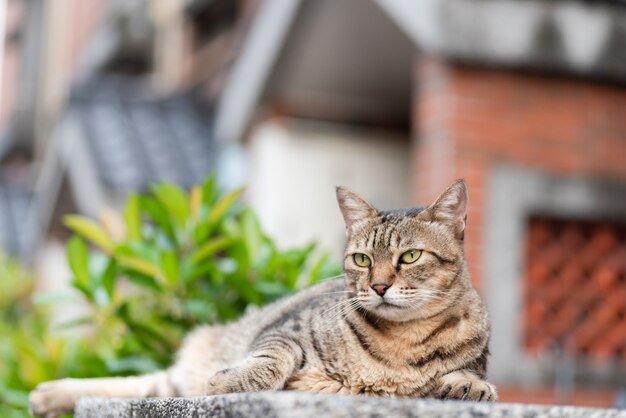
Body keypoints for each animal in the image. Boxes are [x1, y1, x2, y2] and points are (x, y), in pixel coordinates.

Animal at [29, 180, 494, 418]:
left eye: (410, 256)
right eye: (362, 259)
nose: (378, 286)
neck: (398, 342)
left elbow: (470, 377)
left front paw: (468, 386)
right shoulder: (284, 332)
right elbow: (271, 362)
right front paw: (230, 381)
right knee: (144, 384)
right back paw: (46, 394)